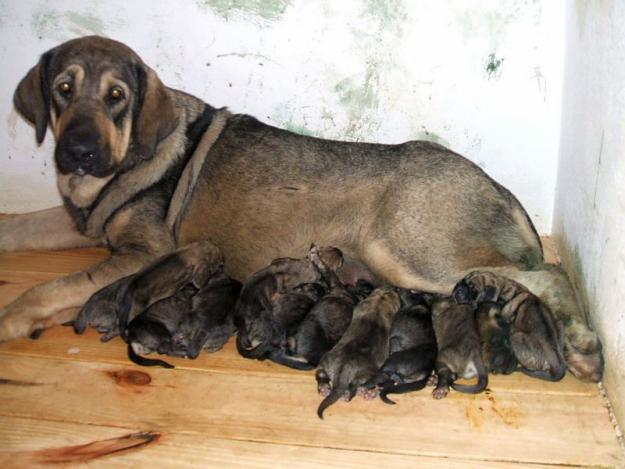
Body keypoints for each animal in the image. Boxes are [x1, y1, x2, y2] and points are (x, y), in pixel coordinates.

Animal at [0, 35, 600, 380]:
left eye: (116, 97)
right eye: (63, 89)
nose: (78, 151)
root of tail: (498, 187)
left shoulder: (142, 253)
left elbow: (50, 288)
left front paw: (13, 317)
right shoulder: (77, 223)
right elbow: (18, 228)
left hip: (405, 255)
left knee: (547, 274)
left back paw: (581, 344)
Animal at [316, 288, 400, 418]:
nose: (394, 288)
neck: (379, 301)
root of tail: (344, 366)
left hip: (326, 359)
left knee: (320, 374)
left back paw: (324, 388)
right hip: (367, 374)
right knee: (355, 385)